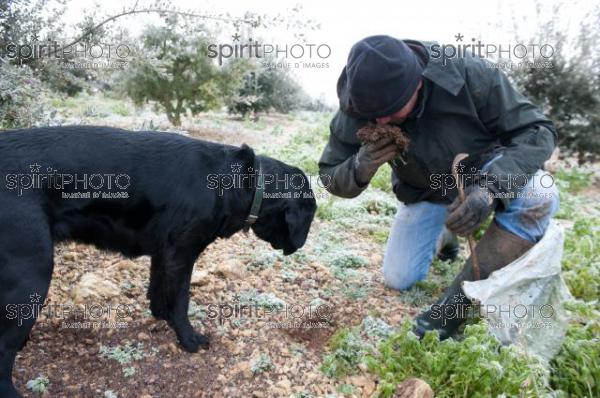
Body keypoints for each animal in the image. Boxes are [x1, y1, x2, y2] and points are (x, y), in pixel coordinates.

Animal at [0, 125, 318, 394]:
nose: (300, 245)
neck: (240, 181)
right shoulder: (182, 253)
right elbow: (181, 301)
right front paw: (188, 339)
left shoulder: (163, 252)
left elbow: (157, 290)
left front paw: (161, 316)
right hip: (33, 273)